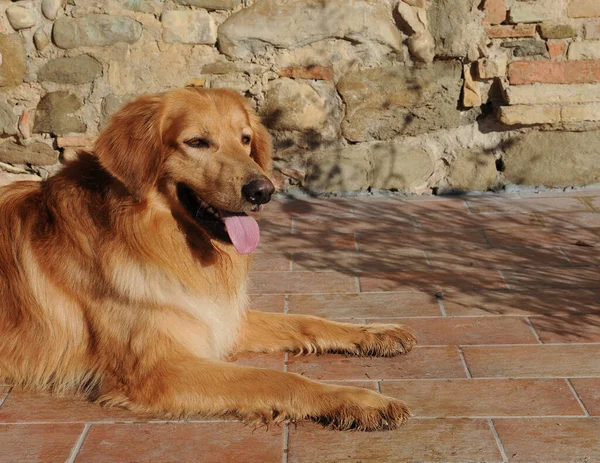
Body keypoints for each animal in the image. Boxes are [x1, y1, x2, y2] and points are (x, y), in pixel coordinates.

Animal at [0, 88, 418, 432]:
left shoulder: (216, 319)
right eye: (197, 142)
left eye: (245, 139)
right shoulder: (160, 370)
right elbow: (278, 379)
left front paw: (372, 332)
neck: (152, 237)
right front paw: (358, 400)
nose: (263, 191)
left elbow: (306, 321)